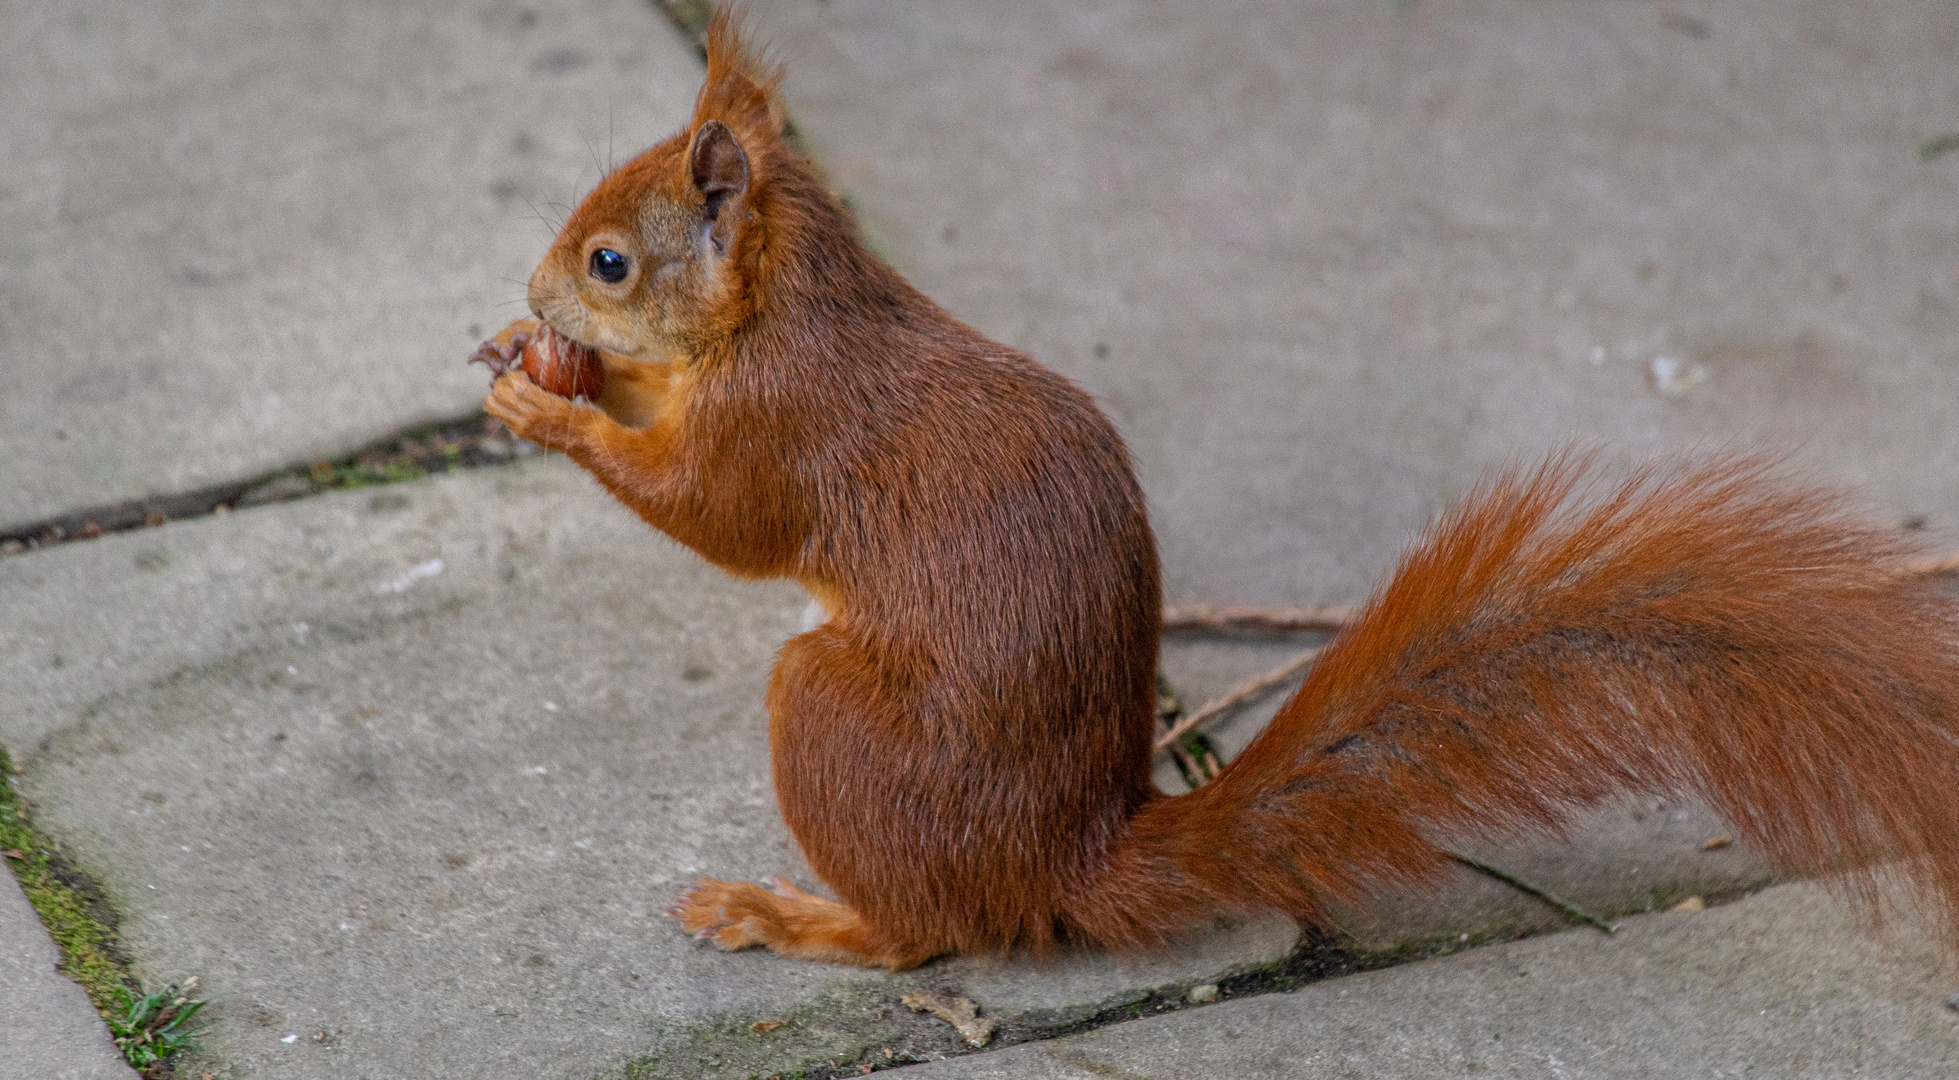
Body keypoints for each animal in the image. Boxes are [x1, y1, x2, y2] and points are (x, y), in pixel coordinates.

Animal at [481, 14, 1959, 972]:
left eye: (611, 261)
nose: (539, 291)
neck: (791, 305)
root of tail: (1061, 863)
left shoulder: (779, 425)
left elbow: (715, 519)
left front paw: (545, 404)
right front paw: (536, 363)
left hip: (836, 721)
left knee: (922, 940)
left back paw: (792, 917)